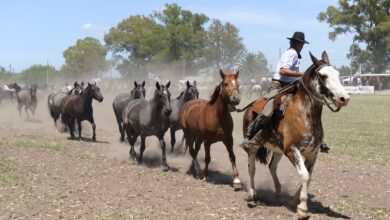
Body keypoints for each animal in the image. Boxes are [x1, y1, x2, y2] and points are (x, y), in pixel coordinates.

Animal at [244, 51, 350, 218]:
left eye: (338, 74)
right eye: (323, 75)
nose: (344, 98)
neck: (304, 114)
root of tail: (250, 107)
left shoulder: (312, 153)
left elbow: (309, 176)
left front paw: (295, 201)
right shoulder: (292, 150)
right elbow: (305, 175)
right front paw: (302, 208)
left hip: (277, 149)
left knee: (272, 167)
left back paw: (278, 192)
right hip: (254, 145)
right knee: (252, 168)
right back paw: (251, 194)